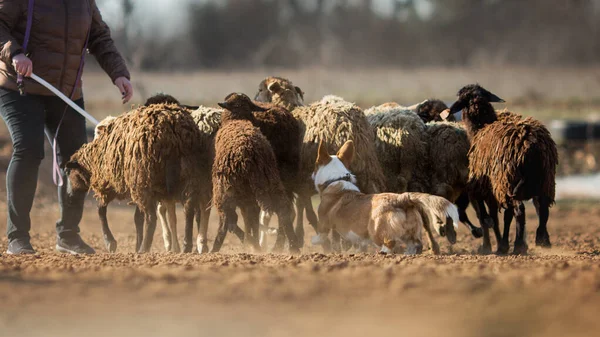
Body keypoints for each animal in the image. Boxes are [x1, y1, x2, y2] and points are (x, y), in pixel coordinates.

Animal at [211, 92, 300, 252]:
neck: (238, 119)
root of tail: (249, 154)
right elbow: (250, 218)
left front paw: (250, 242)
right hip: (272, 179)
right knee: (283, 208)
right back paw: (290, 246)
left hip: (225, 190)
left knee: (227, 218)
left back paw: (216, 249)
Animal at [312, 138, 458, 253]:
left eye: (315, 166)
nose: (311, 175)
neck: (336, 178)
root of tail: (401, 198)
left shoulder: (323, 224)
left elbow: (321, 235)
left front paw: (315, 242)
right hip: (410, 233)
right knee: (416, 245)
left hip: (376, 230)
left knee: (389, 242)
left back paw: (383, 253)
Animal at [452, 84, 560, 255]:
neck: (482, 126)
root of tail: (532, 145)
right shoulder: (496, 190)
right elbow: (501, 217)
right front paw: (500, 244)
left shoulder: (483, 188)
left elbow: (491, 217)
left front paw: (499, 245)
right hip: (544, 181)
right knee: (542, 209)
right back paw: (543, 241)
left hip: (511, 180)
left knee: (520, 211)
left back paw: (518, 246)